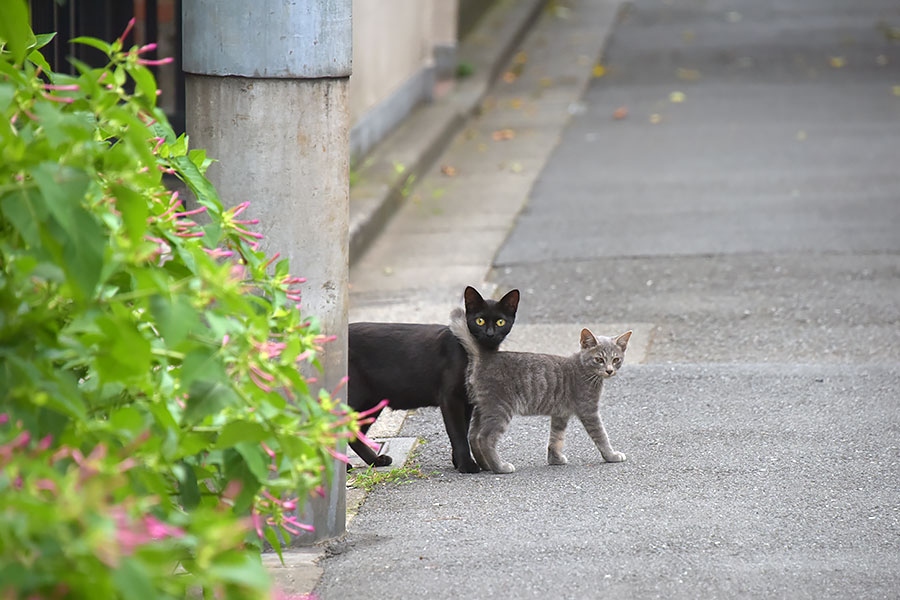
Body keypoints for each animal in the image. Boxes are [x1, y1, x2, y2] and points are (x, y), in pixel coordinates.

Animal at [350, 286, 524, 474]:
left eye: (500, 322)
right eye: (479, 321)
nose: (490, 334)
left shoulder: (467, 401)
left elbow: (464, 429)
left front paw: (457, 461)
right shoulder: (450, 398)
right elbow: (458, 433)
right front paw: (466, 465)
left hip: (371, 402)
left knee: (353, 433)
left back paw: (376, 460)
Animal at [450, 310, 632, 474]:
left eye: (616, 359)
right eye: (599, 359)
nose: (609, 370)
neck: (584, 369)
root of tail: (485, 356)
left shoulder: (560, 414)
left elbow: (556, 437)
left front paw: (555, 459)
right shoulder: (589, 411)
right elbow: (601, 435)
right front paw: (611, 455)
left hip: (482, 408)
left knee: (473, 436)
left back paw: (485, 465)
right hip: (500, 409)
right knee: (484, 438)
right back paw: (499, 467)